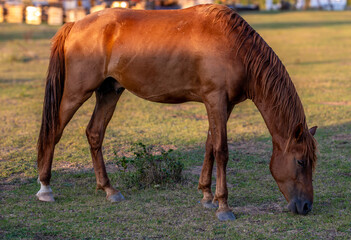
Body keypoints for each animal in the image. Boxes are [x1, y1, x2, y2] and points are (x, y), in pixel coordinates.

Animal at [36, 4, 320, 221]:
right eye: (300, 161)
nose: (306, 206)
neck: (235, 47)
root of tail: (74, 24)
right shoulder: (215, 99)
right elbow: (222, 150)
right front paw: (223, 206)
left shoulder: (223, 104)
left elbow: (210, 145)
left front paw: (206, 195)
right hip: (77, 92)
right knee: (54, 132)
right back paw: (46, 188)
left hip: (109, 91)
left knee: (94, 134)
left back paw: (109, 189)